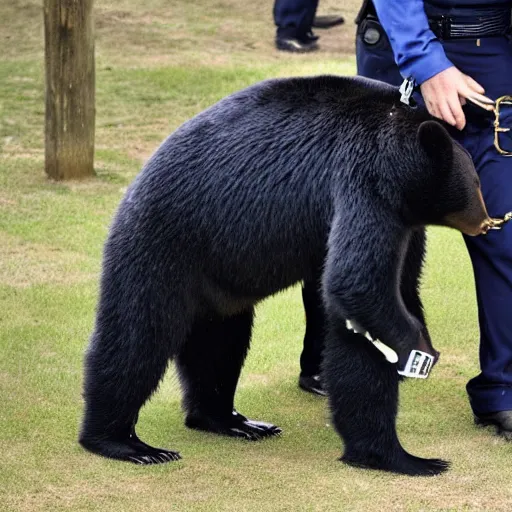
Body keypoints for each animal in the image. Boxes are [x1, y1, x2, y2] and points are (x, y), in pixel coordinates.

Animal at [79, 75, 492, 476]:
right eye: (475, 182)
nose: (486, 221)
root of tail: (133, 188)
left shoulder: (401, 221)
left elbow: (387, 294)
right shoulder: (366, 183)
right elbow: (357, 285)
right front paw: (408, 443)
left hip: (217, 281)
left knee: (220, 344)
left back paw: (230, 421)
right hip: (163, 246)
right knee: (138, 337)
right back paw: (123, 442)